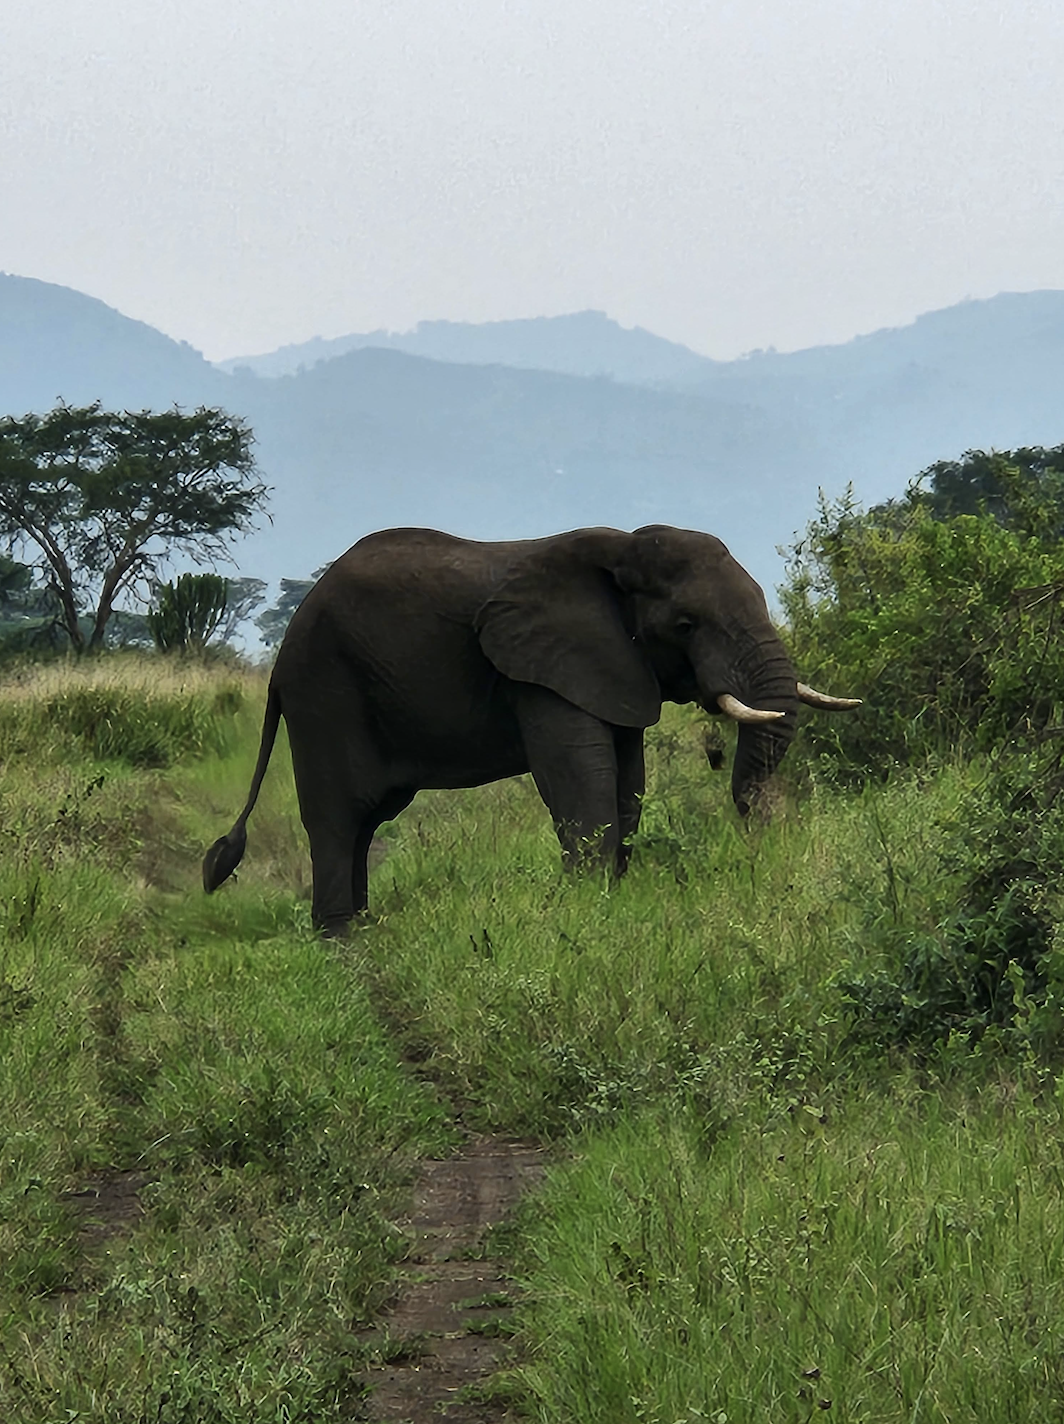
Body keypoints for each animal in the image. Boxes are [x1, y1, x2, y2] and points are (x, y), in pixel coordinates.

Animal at [203, 525, 858, 934]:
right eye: (686, 624)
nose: (760, 830)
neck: (620, 551)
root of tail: (282, 653)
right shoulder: (540, 670)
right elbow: (582, 779)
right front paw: (588, 908)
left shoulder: (616, 667)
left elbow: (628, 780)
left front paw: (612, 893)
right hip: (326, 690)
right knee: (338, 816)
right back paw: (342, 937)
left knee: (366, 820)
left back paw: (363, 925)